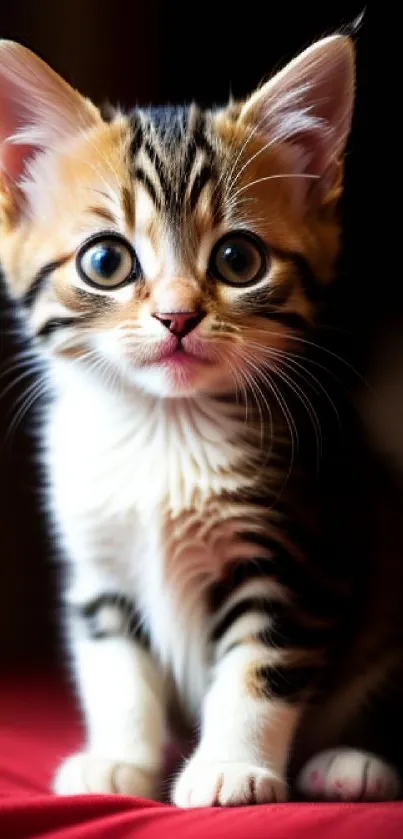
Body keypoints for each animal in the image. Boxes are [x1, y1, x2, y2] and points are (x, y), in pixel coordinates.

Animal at [0, 36, 400, 812]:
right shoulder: (99, 568)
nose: (176, 316)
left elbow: (258, 669)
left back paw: (355, 760)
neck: (162, 427)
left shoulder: (294, 553)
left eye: (238, 259)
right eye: (105, 260)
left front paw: (231, 767)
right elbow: (115, 670)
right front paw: (117, 761)